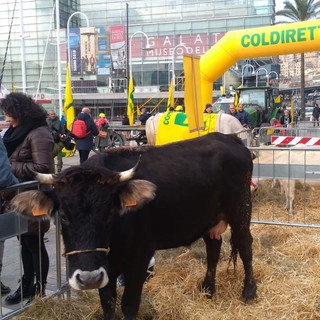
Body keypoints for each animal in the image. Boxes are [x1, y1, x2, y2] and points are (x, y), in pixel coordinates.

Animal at [10, 132, 258, 318]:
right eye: (63, 217)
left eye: (109, 214)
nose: (88, 279)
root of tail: (229, 138)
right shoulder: (107, 268)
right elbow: (108, 305)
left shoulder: (140, 257)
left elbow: (129, 304)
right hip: (209, 218)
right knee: (213, 249)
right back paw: (207, 290)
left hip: (241, 209)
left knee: (245, 246)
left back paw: (249, 292)